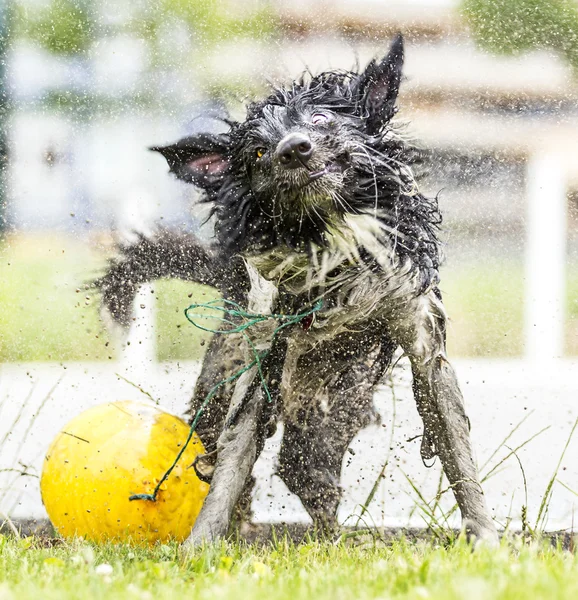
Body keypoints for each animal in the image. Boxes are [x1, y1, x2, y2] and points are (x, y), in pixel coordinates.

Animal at [97, 35, 498, 548]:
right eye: (258, 153)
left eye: (321, 119)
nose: (294, 148)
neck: (330, 238)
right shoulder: (264, 356)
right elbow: (232, 459)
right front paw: (201, 545)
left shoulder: (420, 330)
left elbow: (454, 444)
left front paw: (484, 535)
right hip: (227, 384)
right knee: (246, 455)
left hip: (336, 409)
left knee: (304, 468)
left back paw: (336, 537)